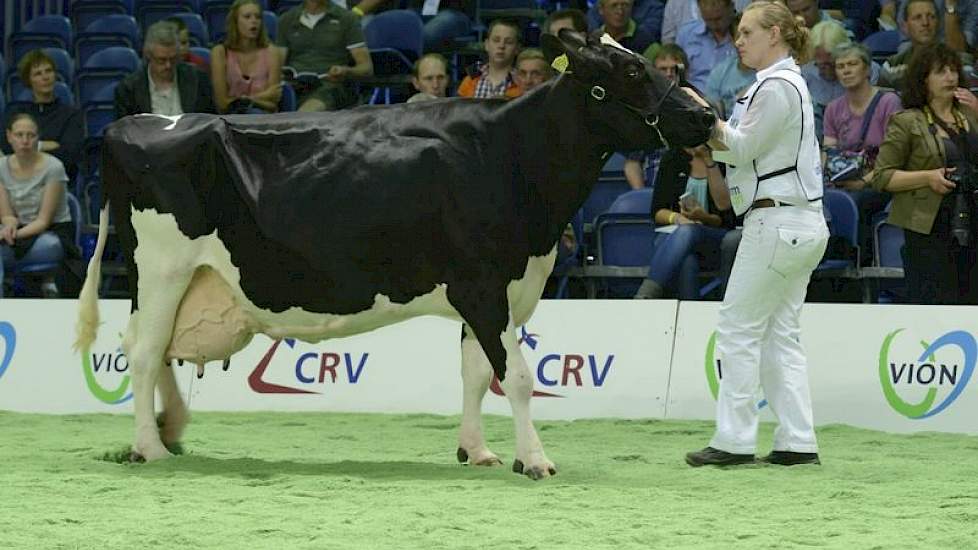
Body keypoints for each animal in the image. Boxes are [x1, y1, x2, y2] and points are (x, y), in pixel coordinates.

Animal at [74, 31, 708, 478]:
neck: (508, 151)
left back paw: (171, 429)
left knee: (156, 351)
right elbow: (517, 377)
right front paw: (535, 459)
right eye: (632, 68)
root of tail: (132, 123)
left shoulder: (495, 290)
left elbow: (476, 371)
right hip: (162, 268)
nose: (703, 113)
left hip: (191, 278)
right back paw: (149, 447)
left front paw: (477, 452)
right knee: (144, 351)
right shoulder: (484, 284)